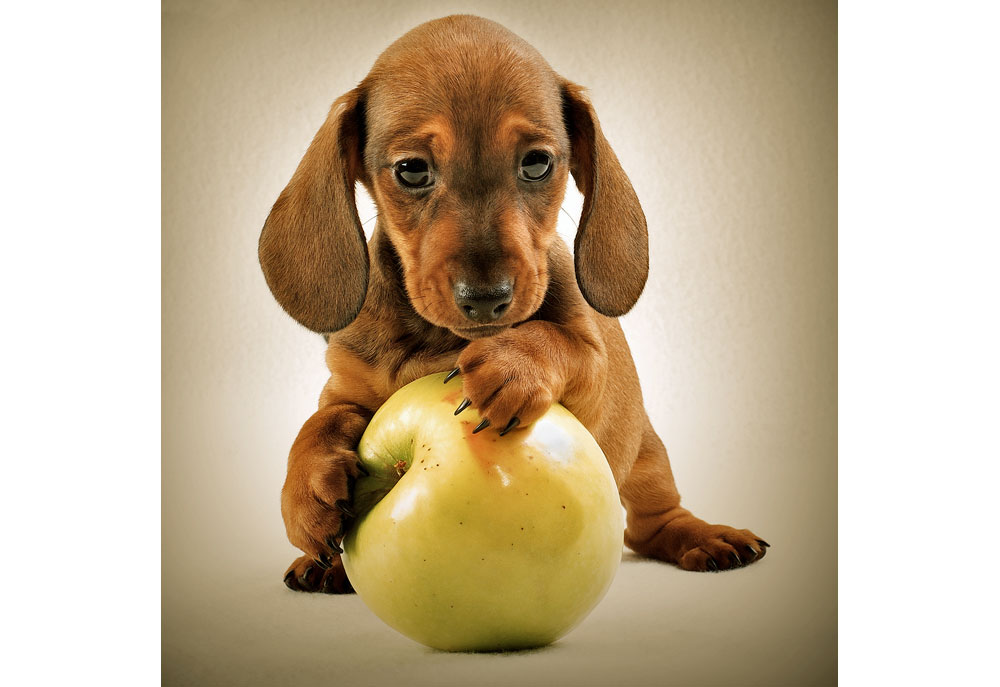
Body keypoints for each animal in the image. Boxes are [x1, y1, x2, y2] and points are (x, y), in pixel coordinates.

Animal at [258, 17, 764, 596]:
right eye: (411, 170)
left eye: (537, 163)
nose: (486, 299)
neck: (435, 340)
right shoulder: (344, 386)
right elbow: (319, 422)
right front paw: (304, 490)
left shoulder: (591, 375)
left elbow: (561, 341)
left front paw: (511, 364)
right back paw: (328, 566)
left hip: (646, 457)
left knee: (653, 523)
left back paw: (705, 536)